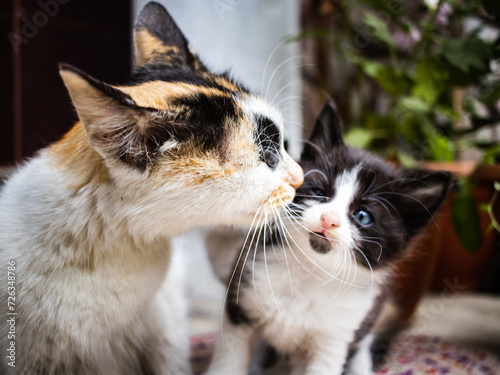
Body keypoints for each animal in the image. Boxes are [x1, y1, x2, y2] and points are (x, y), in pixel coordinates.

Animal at [207, 100, 454, 375]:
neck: (311, 271)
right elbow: (230, 357)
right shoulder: (242, 296)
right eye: (318, 192)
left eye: (363, 216)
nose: (329, 219)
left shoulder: (338, 334)